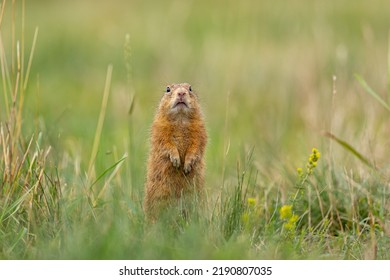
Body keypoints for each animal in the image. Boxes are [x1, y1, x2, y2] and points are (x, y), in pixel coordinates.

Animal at [143, 83, 207, 221]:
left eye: (190, 88)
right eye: (168, 89)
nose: (181, 93)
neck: (180, 119)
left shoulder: (200, 130)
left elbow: (197, 144)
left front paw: (187, 164)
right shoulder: (159, 129)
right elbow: (165, 144)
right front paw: (176, 160)